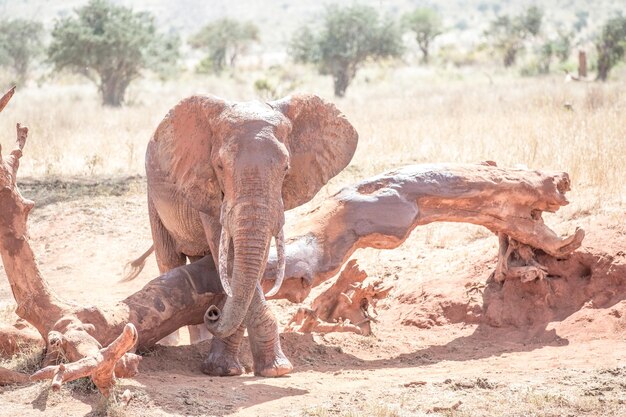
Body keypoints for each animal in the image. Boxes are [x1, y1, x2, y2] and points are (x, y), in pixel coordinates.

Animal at [142, 92, 356, 376]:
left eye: (286, 168)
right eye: (220, 166)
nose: (213, 314)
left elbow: (254, 257)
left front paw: (274, 369)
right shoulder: (209, 187)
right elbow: (230, 254)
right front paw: (224, 370)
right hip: (153, 195)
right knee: (168, 259)